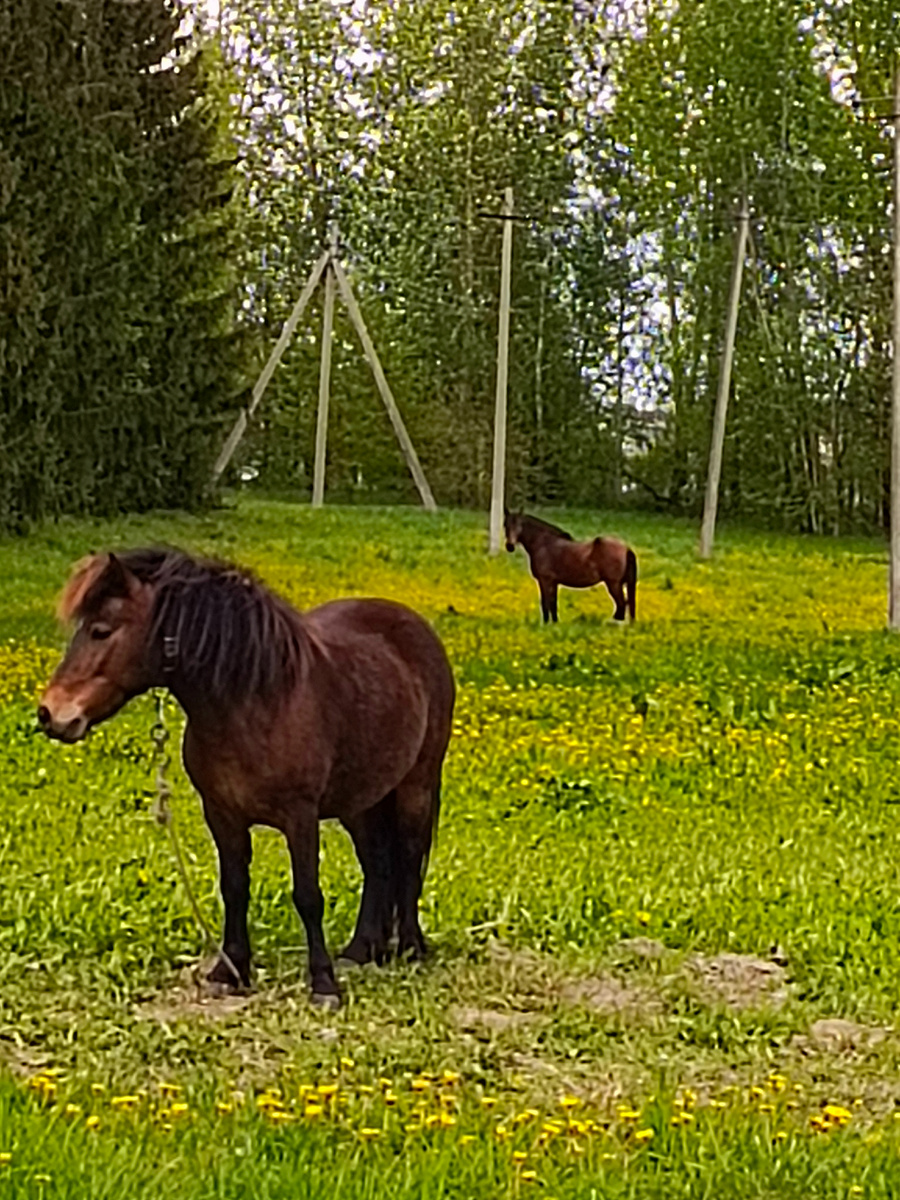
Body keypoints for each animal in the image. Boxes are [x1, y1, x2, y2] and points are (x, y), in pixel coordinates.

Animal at [37, 549, 455, 1008]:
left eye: (100, 630)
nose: (50, 713)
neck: (254, 702)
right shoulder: (222, 814)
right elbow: (234, 888)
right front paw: (230, 971)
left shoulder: (300, 816)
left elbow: (308, 896)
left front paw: (323, 983)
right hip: (361, 801)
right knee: (377, 863)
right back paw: (361, 950)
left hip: (416, 785)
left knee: (409, 857)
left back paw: (411, 949)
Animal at [504, 510, 637, 624]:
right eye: (505, 524)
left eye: (519, 525)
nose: (510, 546)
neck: (543, 544)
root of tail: (626, 548)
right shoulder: (554, 582)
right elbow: (553, 603)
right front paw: (555, 623)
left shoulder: (544, 580)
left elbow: (545, 603)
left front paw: (546, 624)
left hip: (613, 584)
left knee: (622, 604)